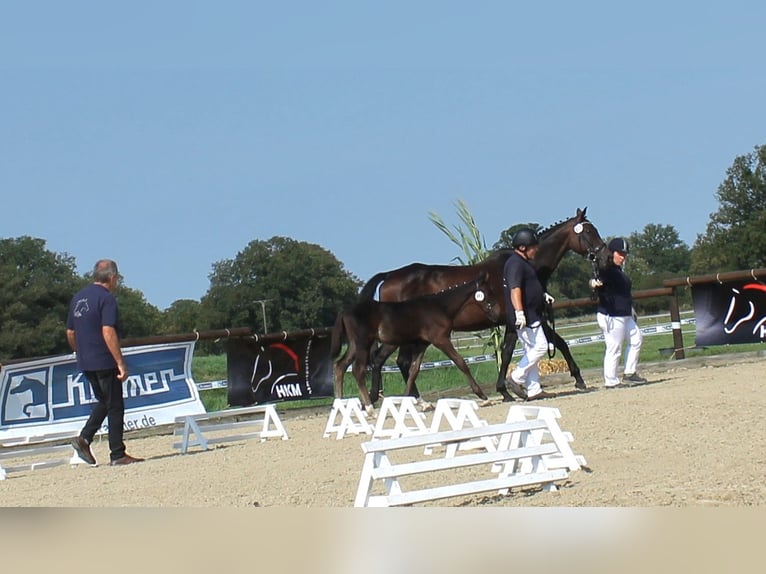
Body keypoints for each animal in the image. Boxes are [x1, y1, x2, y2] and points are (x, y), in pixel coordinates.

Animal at [332, 272, 504, 412]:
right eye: (488, 293)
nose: (497, 315)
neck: (440, 307)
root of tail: (345, 310)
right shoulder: (440, 340)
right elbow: (460, 362)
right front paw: (482, 395)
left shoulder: (422, 344)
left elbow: (413, 371)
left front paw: (406, 399)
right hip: (363, 344)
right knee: (357, 370)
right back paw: (369, 408)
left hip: (354, 345)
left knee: (340, 366)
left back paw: (340, 405)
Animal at [362, 208, 612, 404]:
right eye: (588, 232)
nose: (606, 256)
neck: (524, 265)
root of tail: (390, 277)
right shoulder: (517, 320)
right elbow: (510, 352)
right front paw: (507, 391)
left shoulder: (531, 318)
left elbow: (557, 342)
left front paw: (576, 379)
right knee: (392, 361)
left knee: (396, 362)